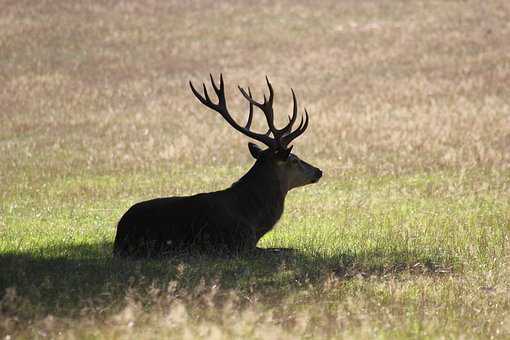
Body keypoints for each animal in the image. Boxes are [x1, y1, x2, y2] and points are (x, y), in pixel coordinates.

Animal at [114, 74, 322, 258]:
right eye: (294, 159)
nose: (319, 171)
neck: (253, 219)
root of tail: (119, 236)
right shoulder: (239, 244)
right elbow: (290, 249)